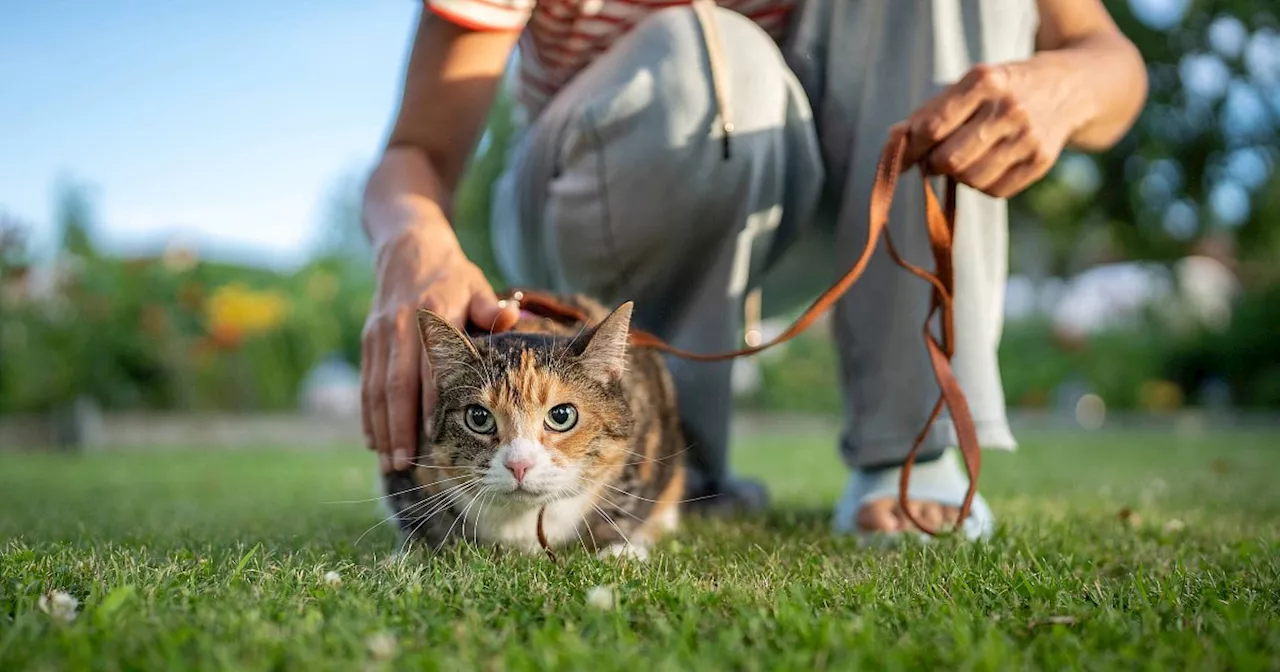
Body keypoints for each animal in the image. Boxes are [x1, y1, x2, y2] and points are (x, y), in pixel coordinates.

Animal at [378, 294, 686, 560]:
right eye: (478, 418)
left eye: (561, 415)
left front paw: (618, 551)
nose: (519, 465)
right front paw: (410, 555)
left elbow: (625, 502)